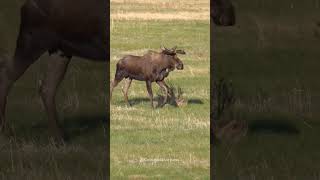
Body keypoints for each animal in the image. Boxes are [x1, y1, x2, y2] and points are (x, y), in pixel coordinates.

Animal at [0, 0, 108, 141]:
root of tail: (24, 5)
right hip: (32, 40)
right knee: (6, 74)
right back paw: (5, 131)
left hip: (60, 50)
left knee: (47, 87)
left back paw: (59, 138)